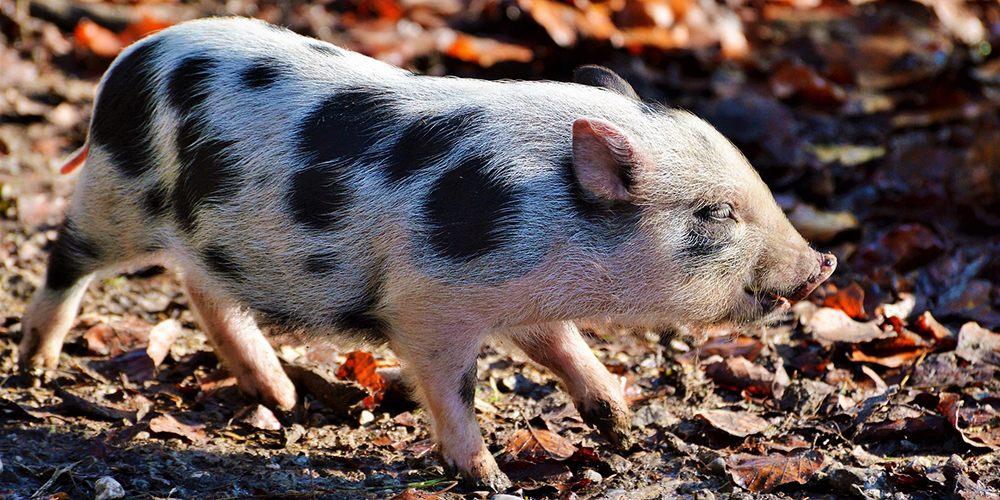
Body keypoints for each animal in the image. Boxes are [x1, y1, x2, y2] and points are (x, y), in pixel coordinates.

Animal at [21, 16, 836, 492]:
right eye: (718, 212)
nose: (823, 266)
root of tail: (127, 60)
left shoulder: (525, 299)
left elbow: (566, 350)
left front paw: (622, 428)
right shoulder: (428, 306)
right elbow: (453, 387)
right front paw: (490, 479)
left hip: (211, 235)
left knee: (204, 288)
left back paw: (280, 400)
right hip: (117, 196)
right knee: (67, 257)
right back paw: (35, 368)